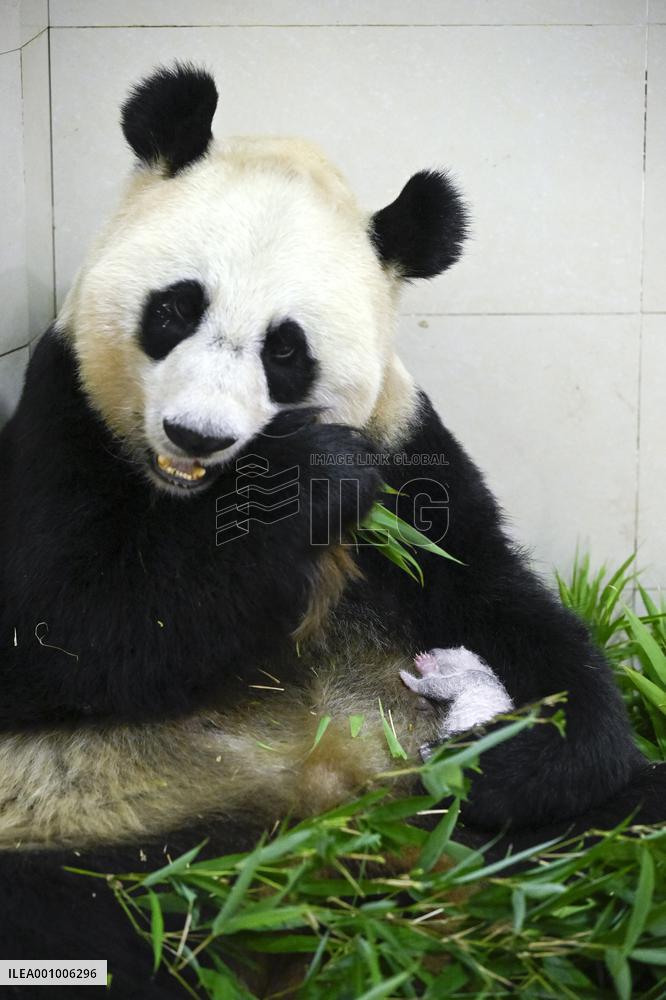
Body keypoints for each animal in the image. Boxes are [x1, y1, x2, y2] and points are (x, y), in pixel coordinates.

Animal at [0, 63, 664, 998]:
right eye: (175, 308)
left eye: (286, 350)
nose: (195, 435)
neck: (192, 499)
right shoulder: (63, 418)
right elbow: (64, 629)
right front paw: (304, 482)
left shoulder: (409, 457)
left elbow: (498, 598)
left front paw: (507, 760)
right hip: (96, 820)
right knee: (92, 919)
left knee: (628, 828)